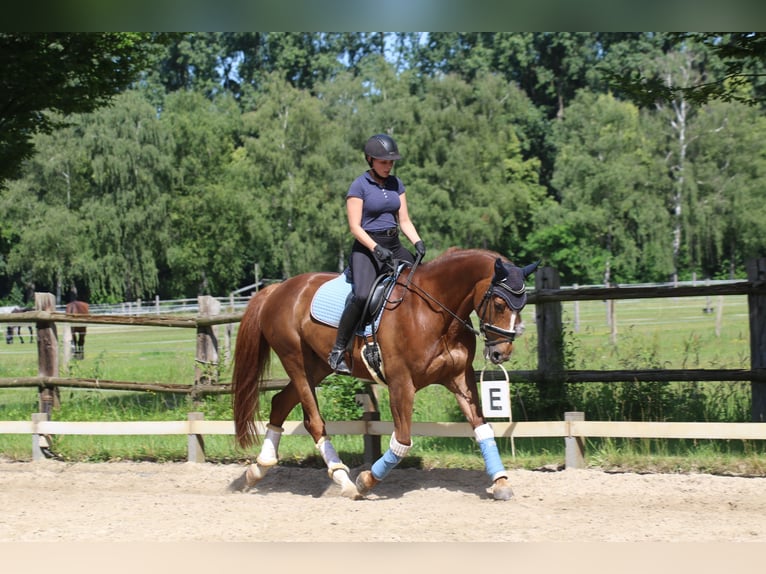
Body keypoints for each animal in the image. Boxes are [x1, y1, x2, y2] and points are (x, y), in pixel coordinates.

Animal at [231, 250, 536, 502]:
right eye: (499, 304)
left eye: (522, 305)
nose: (500, 353)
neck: (436, 313)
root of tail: (277, 289)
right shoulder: (401, 383)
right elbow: (402, 441)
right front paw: (366, 481)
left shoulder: (460, 378)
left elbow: (482, 427)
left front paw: (501, 482)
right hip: (295, 361)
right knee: (313, 421)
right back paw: (344, 481)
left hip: (316, 367)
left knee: (280, 402)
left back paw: (256, 471)